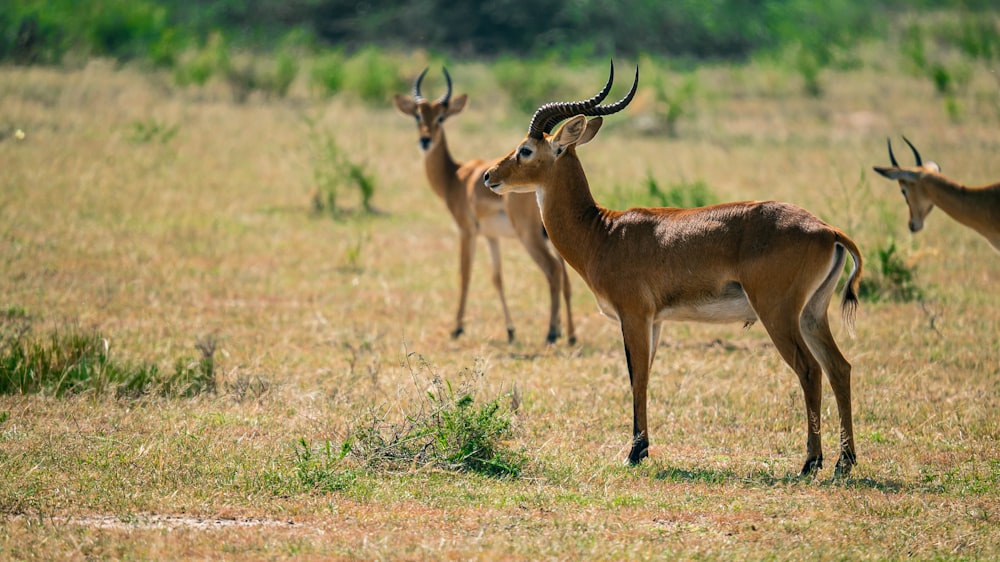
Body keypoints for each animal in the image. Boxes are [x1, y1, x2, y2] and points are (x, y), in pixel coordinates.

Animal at [392, 68, 576, 344]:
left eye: (441, 117)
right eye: (417, 116)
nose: (425, 140)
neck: (455, 176)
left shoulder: (466, 231)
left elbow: (465, 274)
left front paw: (457, 328)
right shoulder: (491, 236)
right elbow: (497, 278)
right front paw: (510, 330)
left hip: (529, 236)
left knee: (553, 270)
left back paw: (551, 333)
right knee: (564, 275)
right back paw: (571, 334)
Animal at [482, 63, 860, 474]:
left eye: (525, 149)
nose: (488, 176)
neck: (603, 232)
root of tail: (828, 230)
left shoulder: (634, 316)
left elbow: (638, 378)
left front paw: (635, 452)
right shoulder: (656, 320)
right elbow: (644, 375)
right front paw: (641, 448)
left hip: (778, 314)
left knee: (810, 370)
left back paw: (811, 461)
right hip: (812, 313)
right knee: (839, 367)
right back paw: (845, 461)